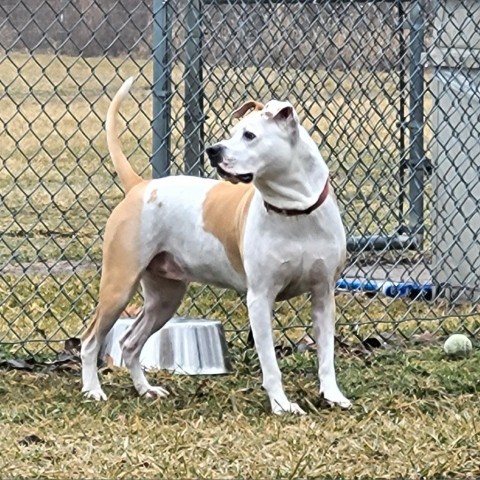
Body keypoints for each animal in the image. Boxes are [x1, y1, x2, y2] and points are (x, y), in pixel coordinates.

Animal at [80, 78, 350, 412]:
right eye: (233, 132)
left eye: (249, 135)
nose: (213, 150)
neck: (295, 210)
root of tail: (141, 186)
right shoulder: (260, 299)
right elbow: (270, 364)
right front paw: (281, 405)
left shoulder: (323, 295)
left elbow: (326, 356)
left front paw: (333, 395)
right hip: (118, 286)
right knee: (90, 340)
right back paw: (93, 390)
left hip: (164, 298)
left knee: (130, 343)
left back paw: (146, 389)